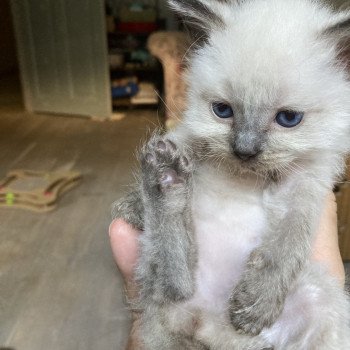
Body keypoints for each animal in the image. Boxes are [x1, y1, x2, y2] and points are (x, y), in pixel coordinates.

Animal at [113, 0, 348, 350]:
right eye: (222, 111)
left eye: (289, 118)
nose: (244, 151)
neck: (245, 176)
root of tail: (206, 325)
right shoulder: (191, 136)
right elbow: (182, 140)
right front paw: (131, 206)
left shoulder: (307, 183)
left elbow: (288, 242)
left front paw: (254, 306)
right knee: (172, 285)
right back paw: (165, 179)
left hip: (322, 301)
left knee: (175, 287)